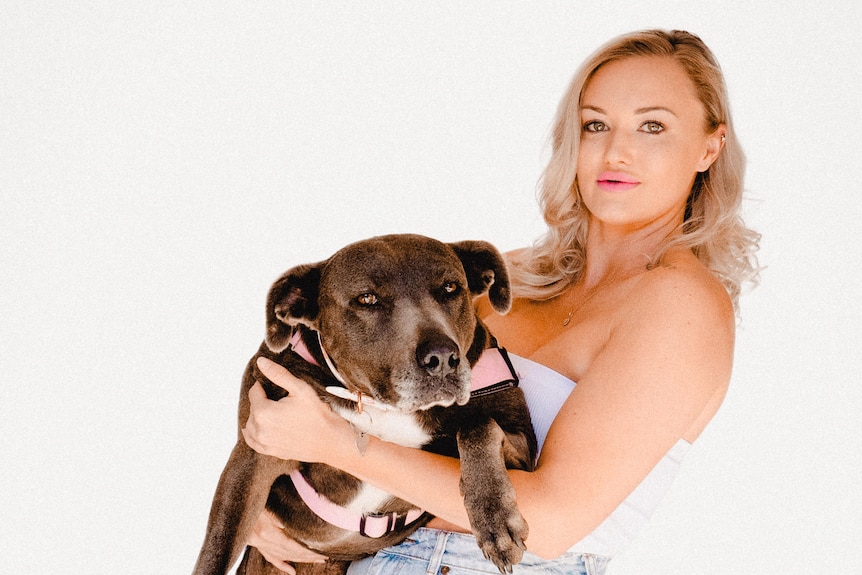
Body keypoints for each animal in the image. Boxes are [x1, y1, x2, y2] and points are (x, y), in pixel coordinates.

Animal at [192, 234, 536, 575]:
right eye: (367, 299)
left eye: (451, 288)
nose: (441, 358)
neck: (380, 406)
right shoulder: (254, 456)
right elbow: (217, 549)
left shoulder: (524, 449)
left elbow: (478, 426)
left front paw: (495, 518)